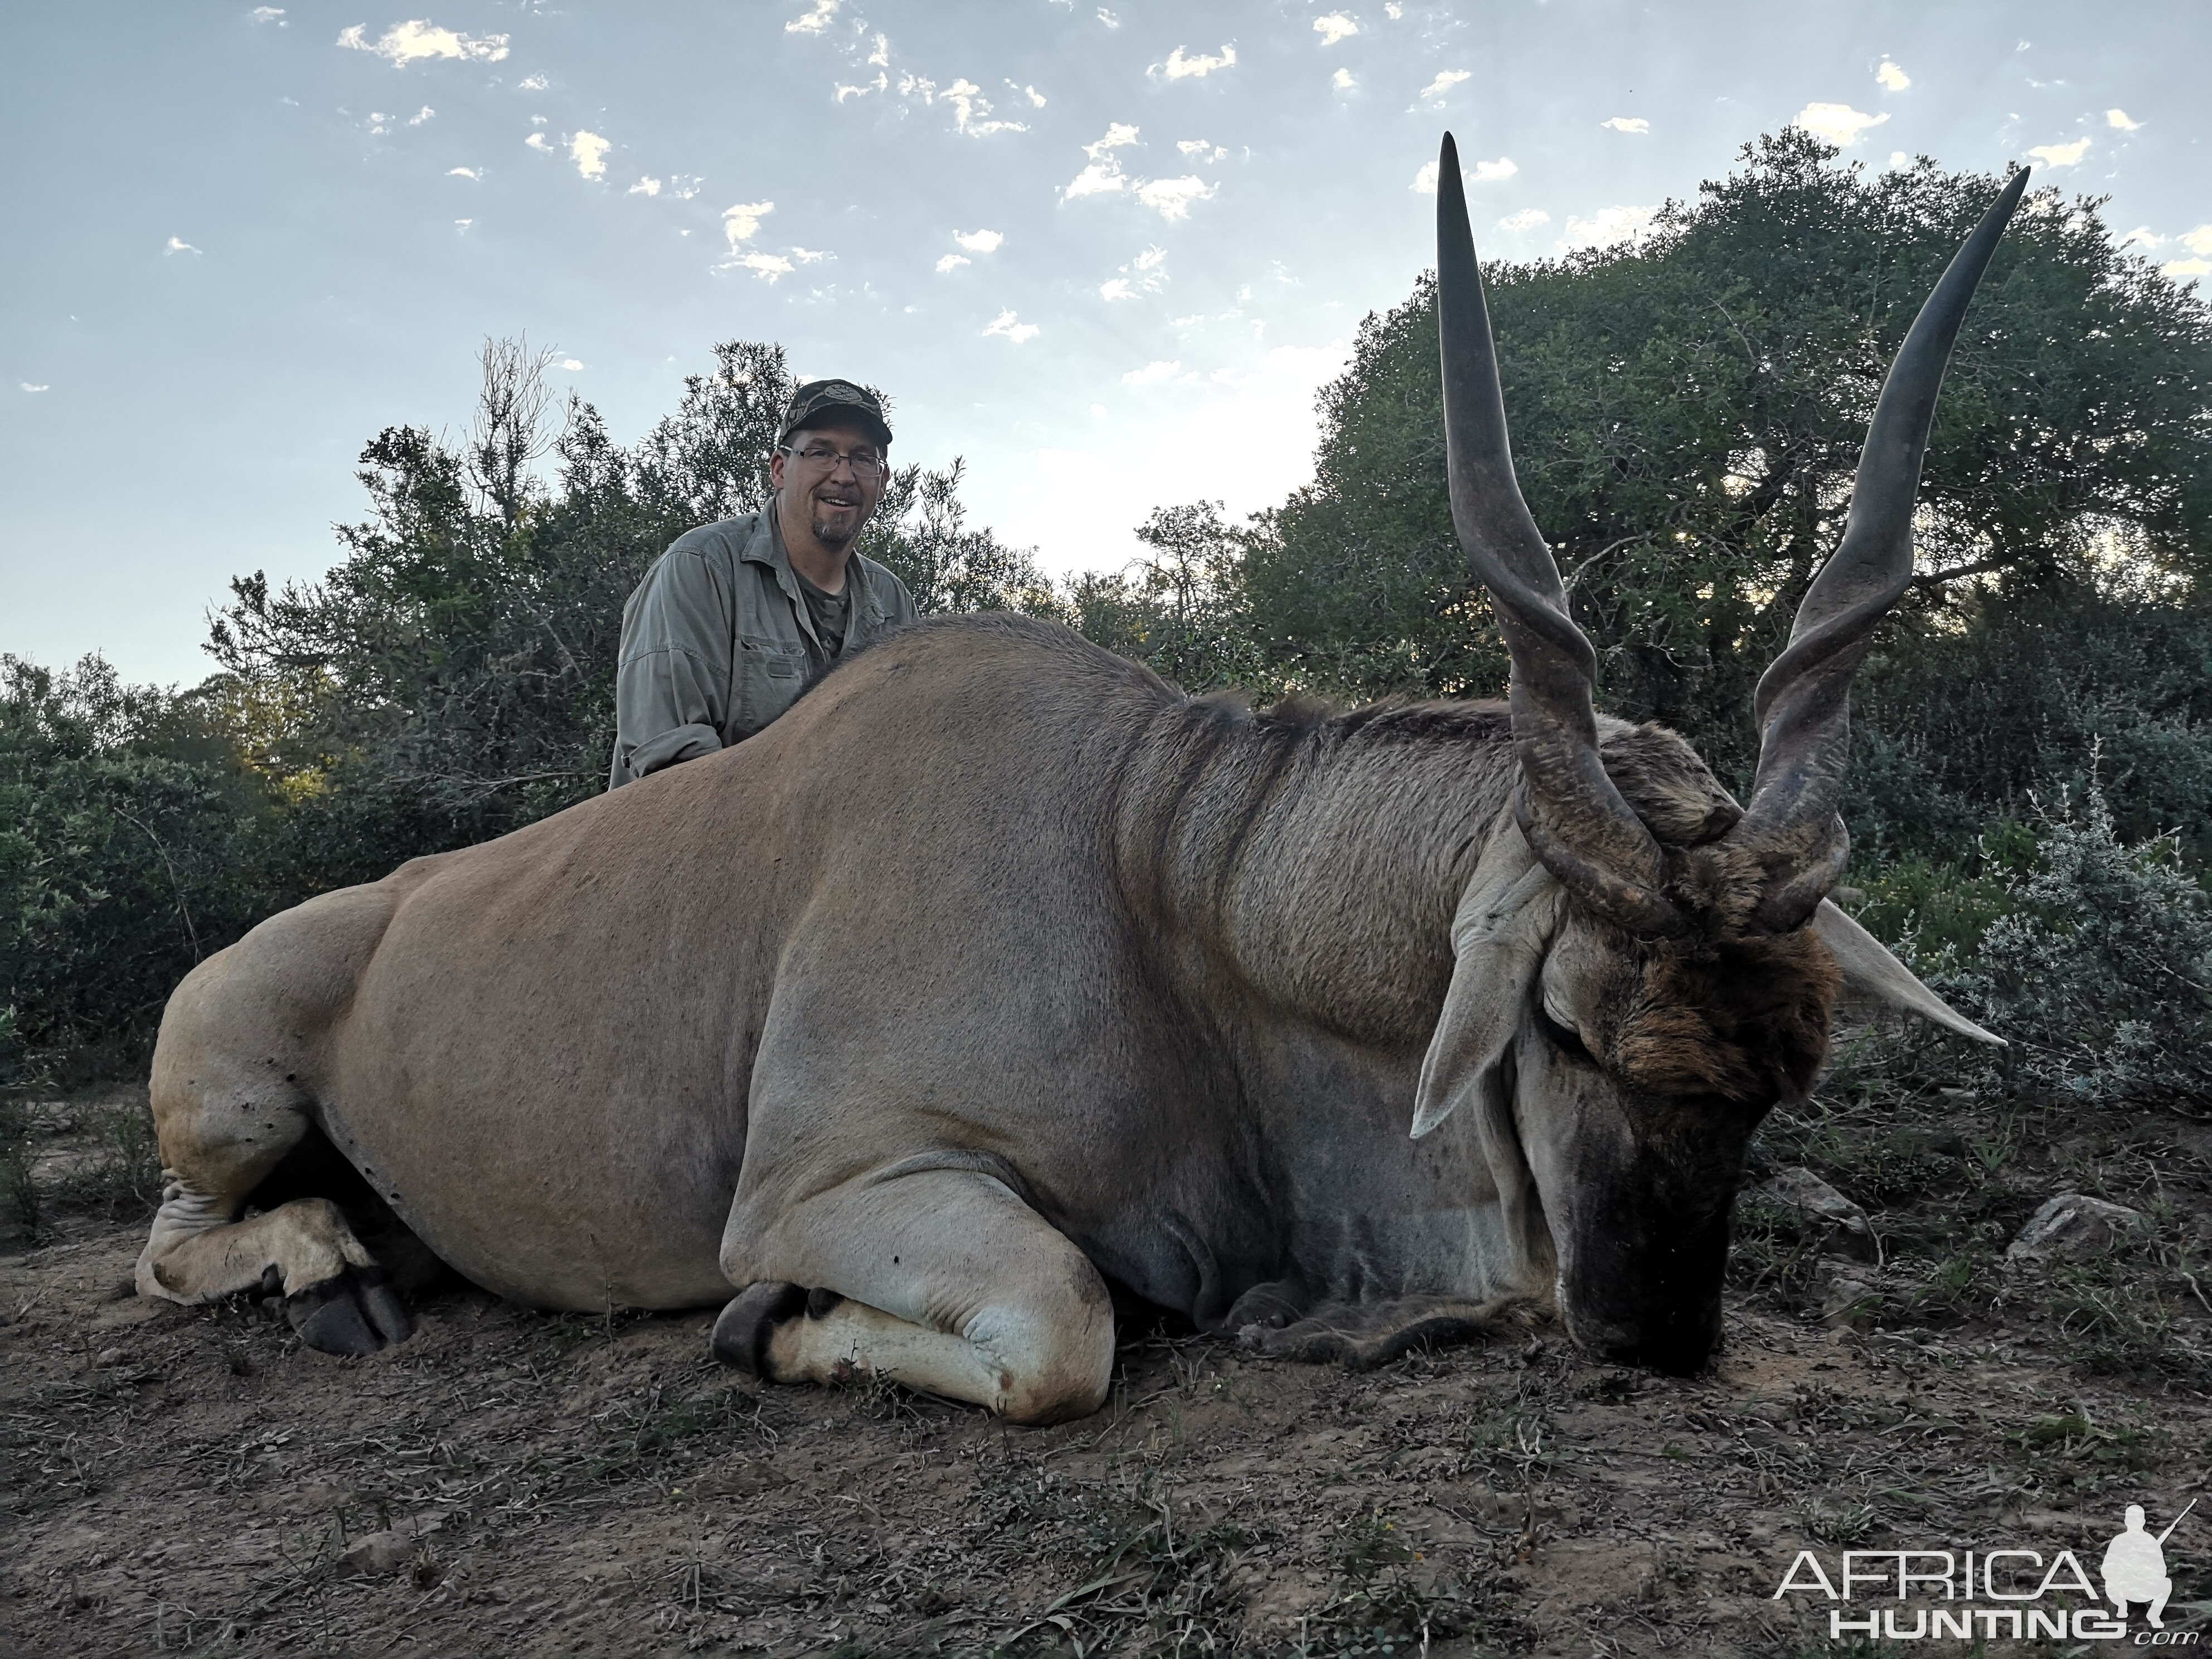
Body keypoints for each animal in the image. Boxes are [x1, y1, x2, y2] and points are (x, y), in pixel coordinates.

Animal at [138, 137, 2026, 1424]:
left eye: (1794, 1066)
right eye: (1563, 1021)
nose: (1659, 1334)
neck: (1152, 863)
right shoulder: (828, 1191)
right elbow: (1064, 1332)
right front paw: (770, 1329)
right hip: (223, 1105)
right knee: (169, 1239)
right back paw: (332, 1268)